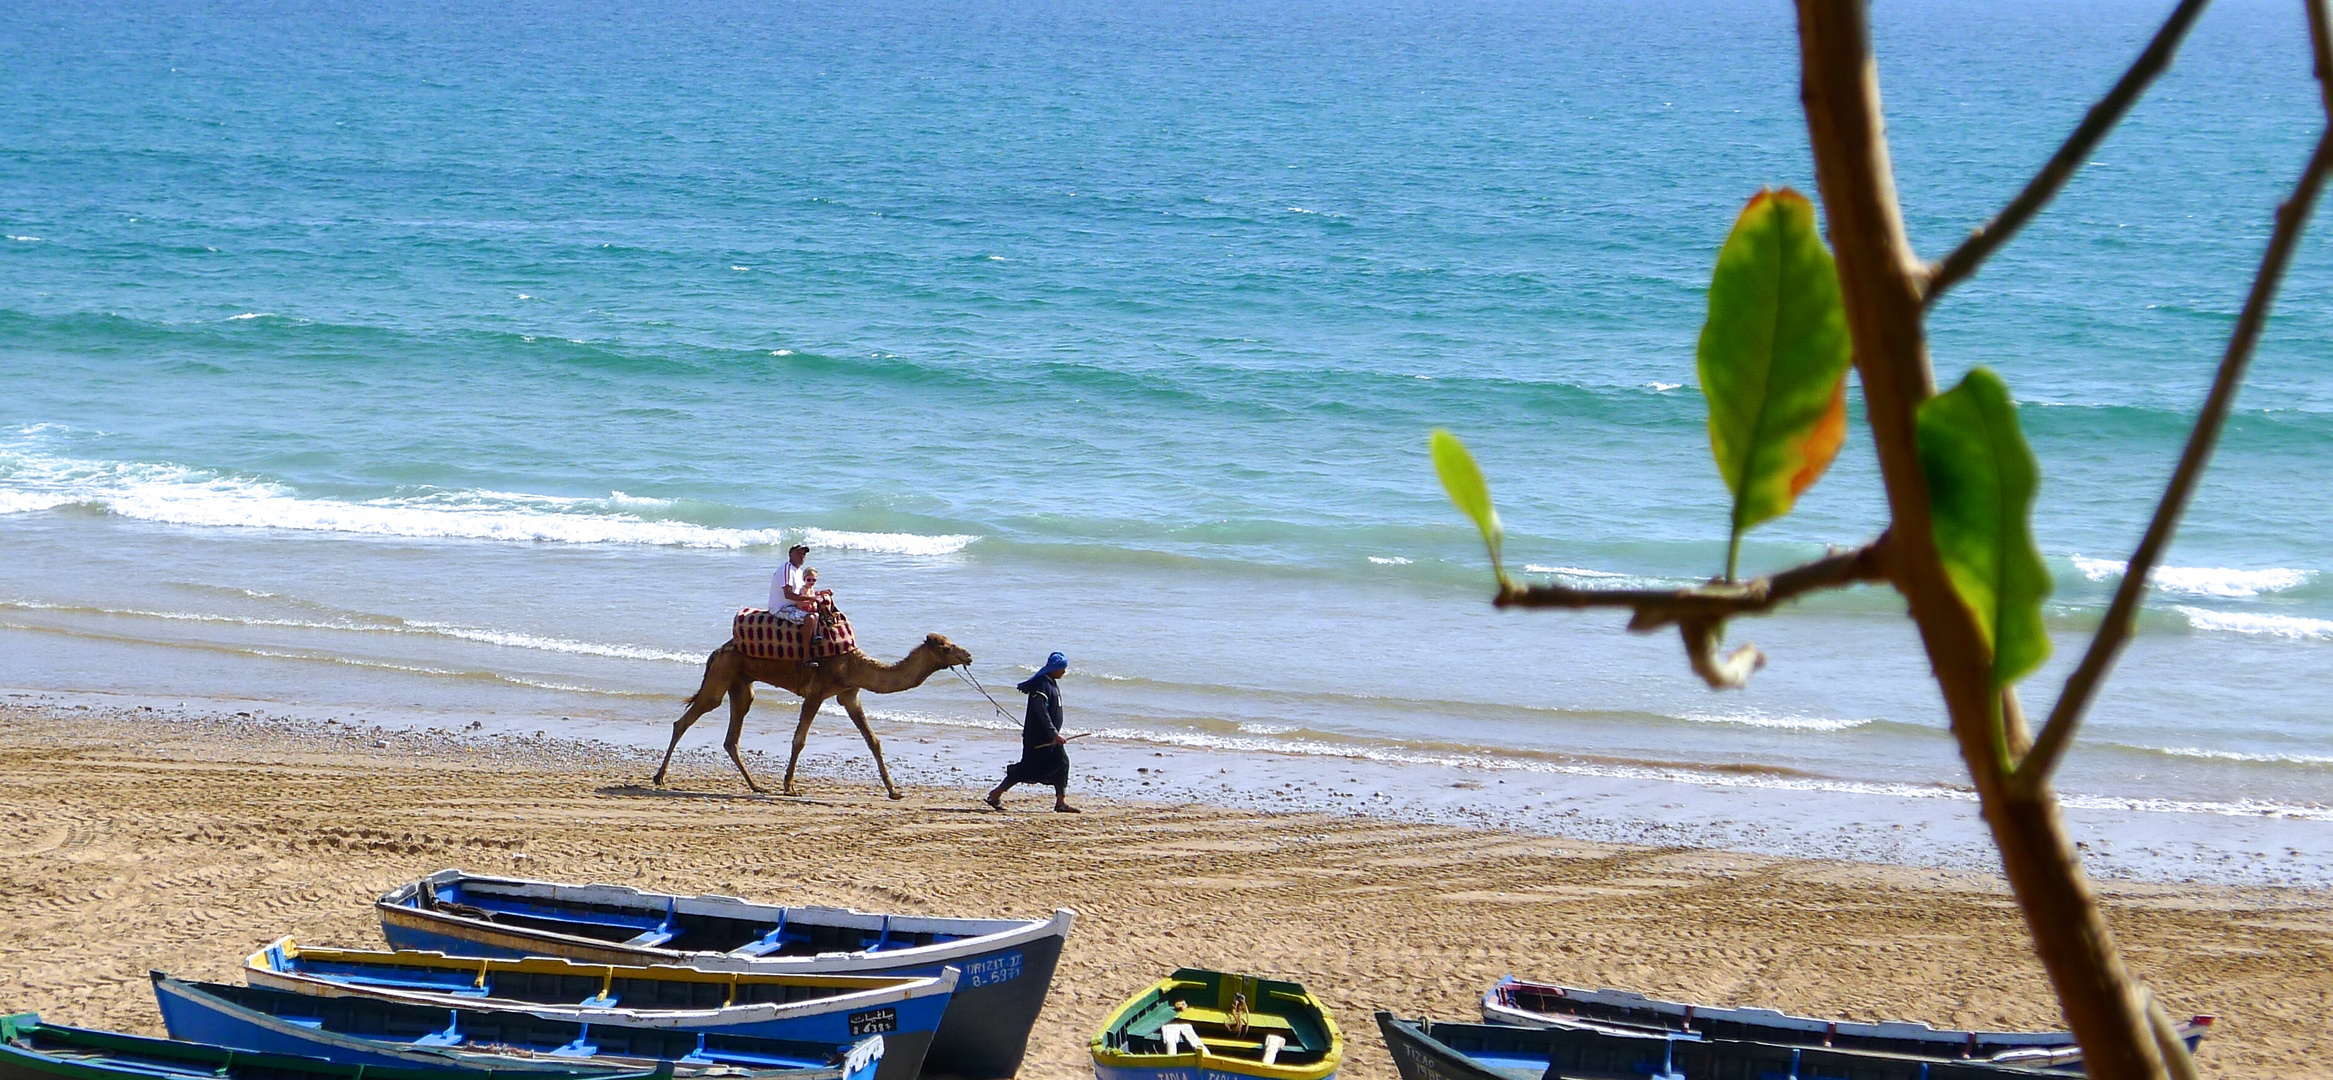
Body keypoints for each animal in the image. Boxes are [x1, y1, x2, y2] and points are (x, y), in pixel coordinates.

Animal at [653, 629, 970, 797]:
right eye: (945, 646)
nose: (968, 655)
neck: (854, 665)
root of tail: (717, 651)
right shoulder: (817, 693)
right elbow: (799, 740)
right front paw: (789, 786)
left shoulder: (849, 695)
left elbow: (874, 741)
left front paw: (894, 791)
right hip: (722, 675)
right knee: (685, 719)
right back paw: (659, 777)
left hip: (741, 683)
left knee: (732, 736)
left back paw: (756, 785)